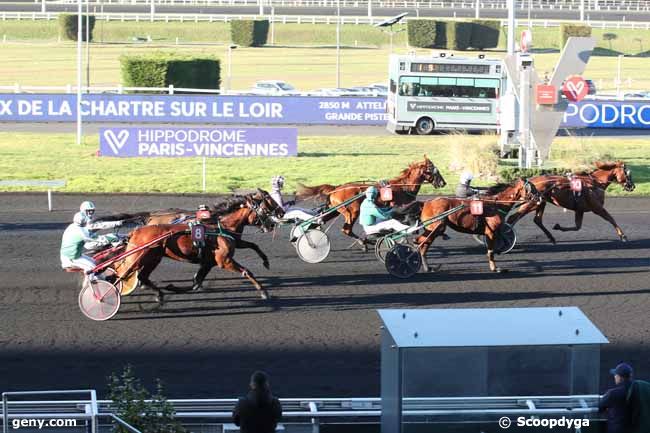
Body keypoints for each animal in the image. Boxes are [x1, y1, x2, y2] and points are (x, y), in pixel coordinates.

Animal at [112, 191, 284, 302]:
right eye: (268, 202)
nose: (275, 220)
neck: (221, 226)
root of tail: (136, 231)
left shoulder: (210, 261)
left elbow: (196, 282)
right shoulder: (224, 261)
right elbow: (246, 271)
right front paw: (263, 292)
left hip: (152, 258)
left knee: (141, 276)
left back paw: (157, 293)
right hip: (140, 257)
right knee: (123, 272)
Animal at [294, 155, 442, 245]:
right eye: (434, 170)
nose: (443, 182)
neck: (403, 187)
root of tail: (336, 188)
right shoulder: (399, 207)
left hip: (335, 209)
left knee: (322, 220)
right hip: (351, 211)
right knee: (346, 229)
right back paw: (363, 242)